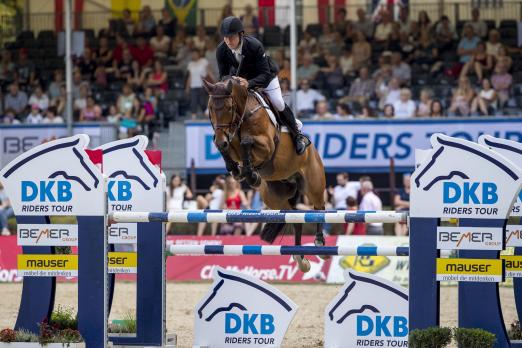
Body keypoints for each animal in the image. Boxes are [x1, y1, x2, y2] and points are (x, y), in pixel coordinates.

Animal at [202, 79, 324, 272]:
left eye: (229, 107)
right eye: (210, 108)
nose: (222, 140)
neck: (241, 116)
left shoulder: (266, 145)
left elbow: (247, 142)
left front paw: (251, 174)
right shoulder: (229, 141)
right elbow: (226, 149)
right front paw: (239, 170)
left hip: (313, 183)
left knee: (319, 208)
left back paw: (319, 242)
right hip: (274, 197)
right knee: (295, 218)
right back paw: (300, 258)